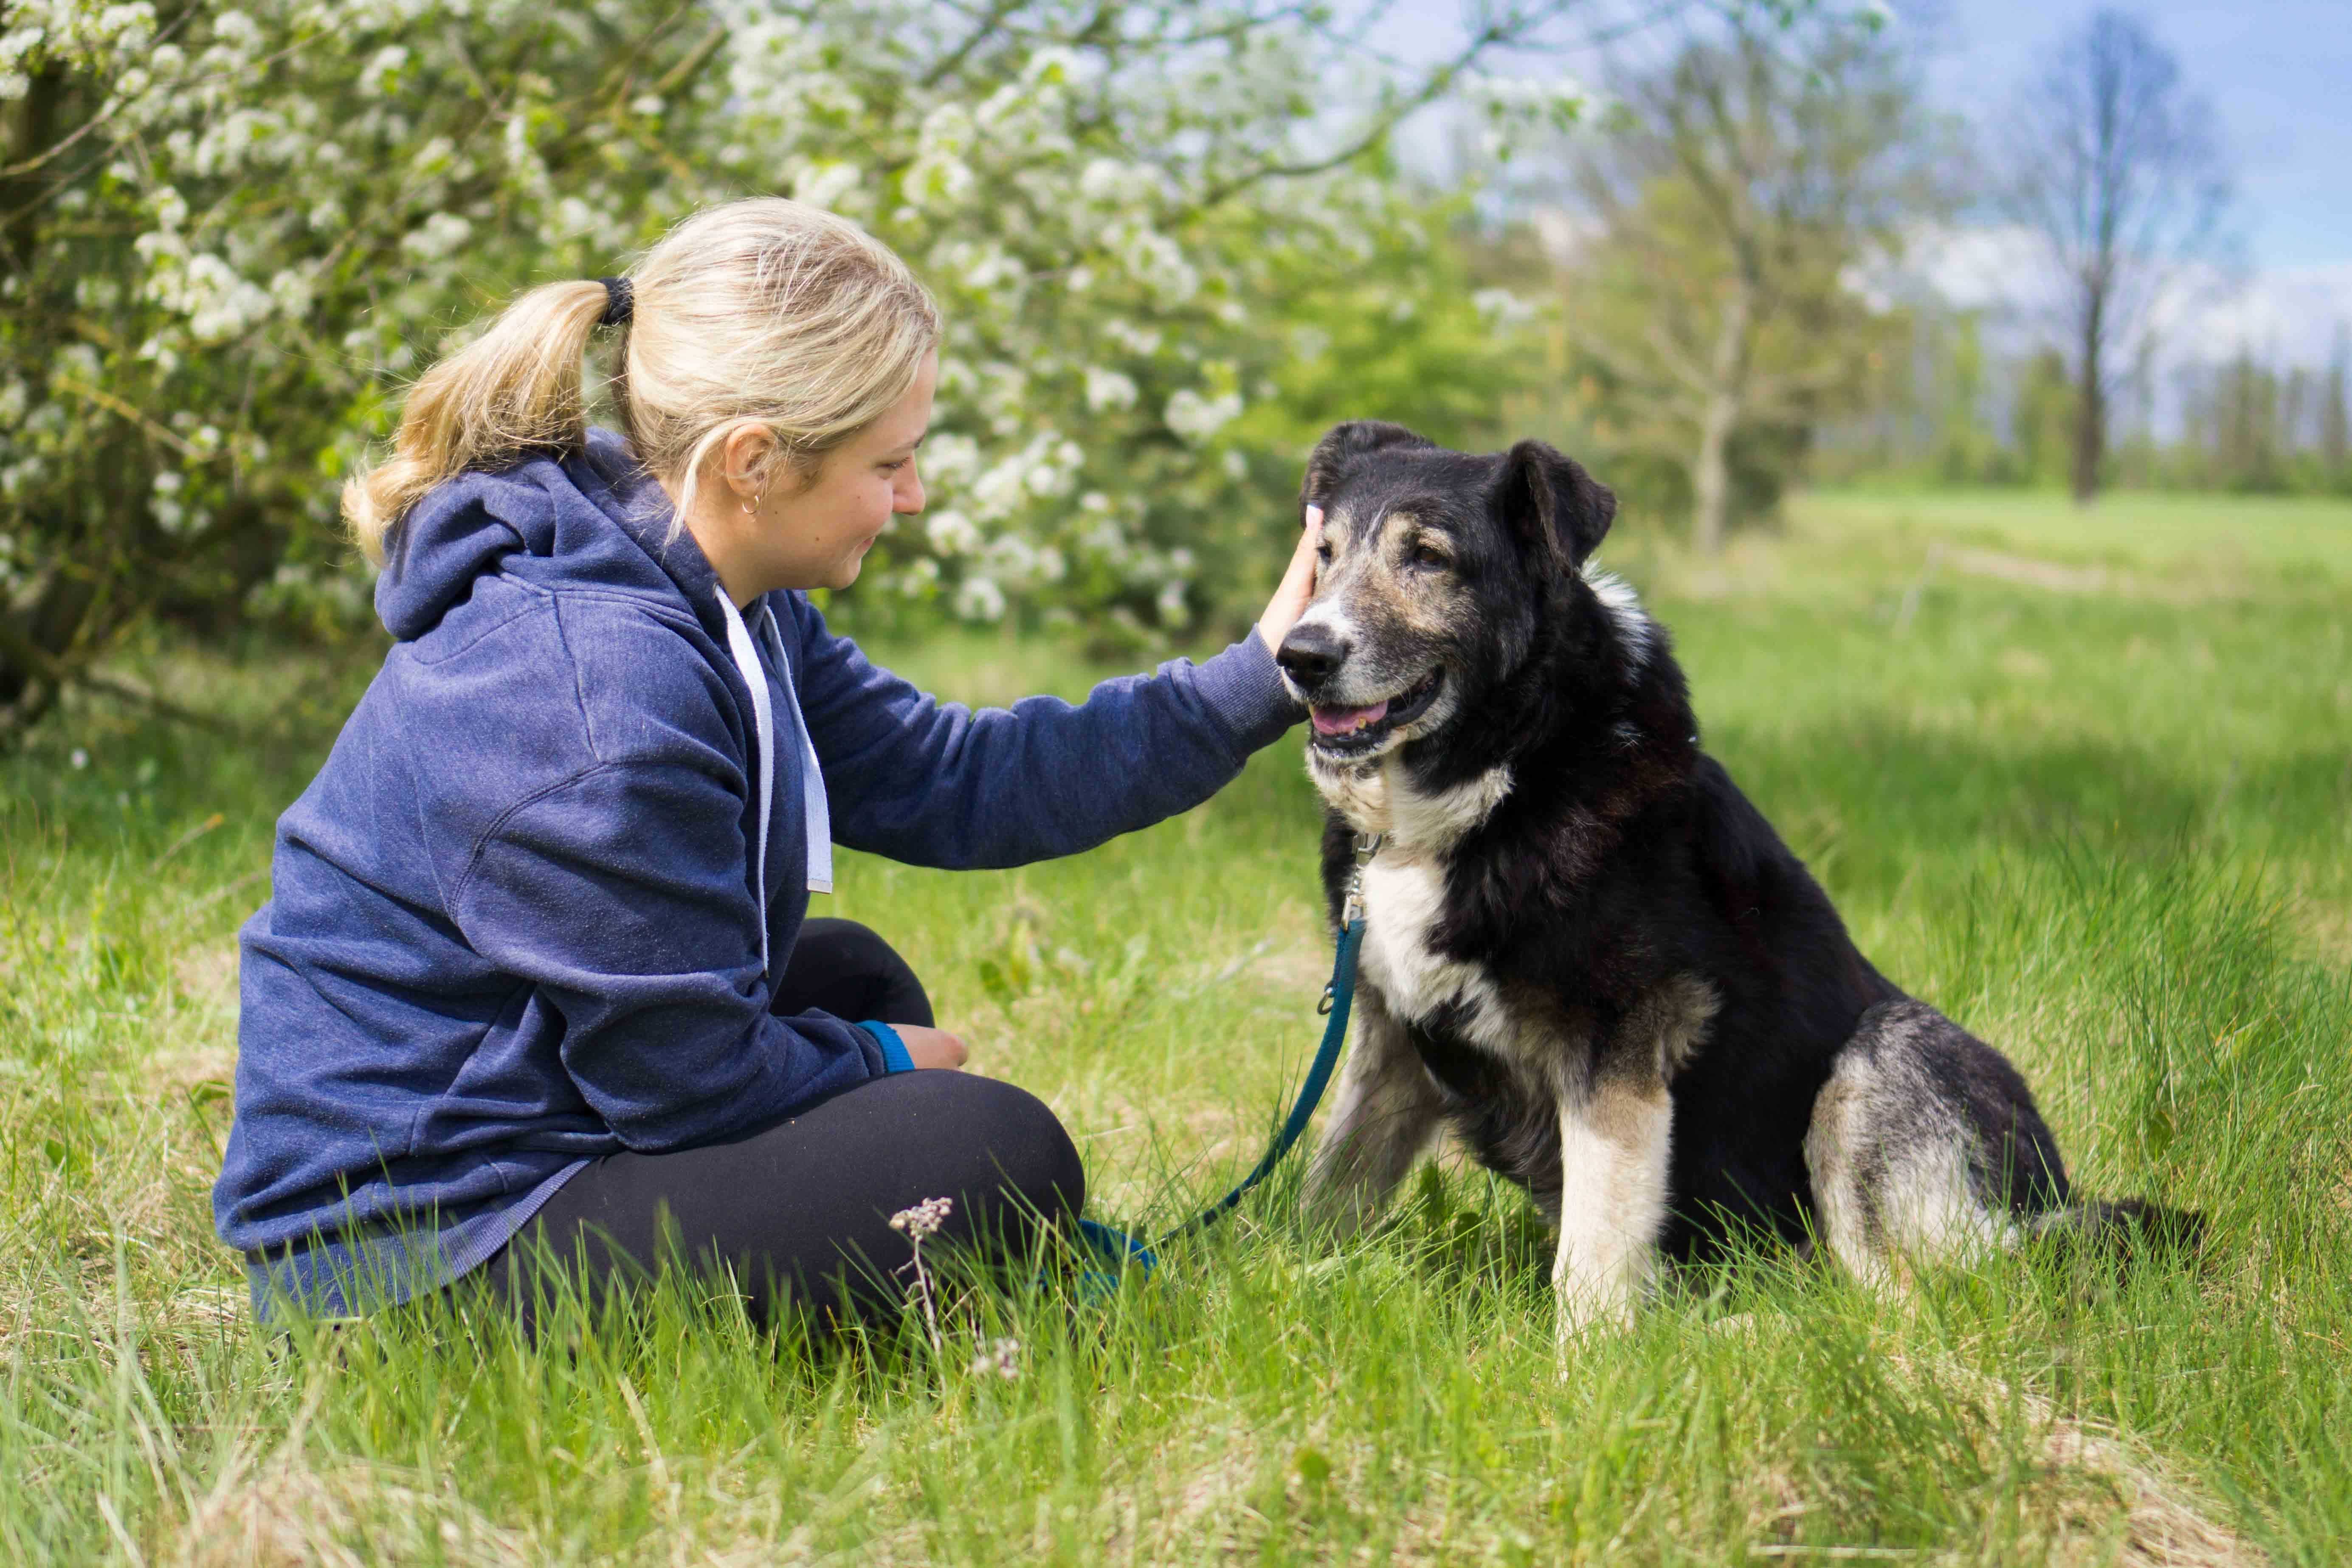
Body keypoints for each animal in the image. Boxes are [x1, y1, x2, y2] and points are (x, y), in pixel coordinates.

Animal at [1279, 421, 2192, 1335]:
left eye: (1427, 557)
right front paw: (1276, 1279)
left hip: (1876, 1062)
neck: (1508, 767)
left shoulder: (1615, 1050)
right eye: (1323, 554)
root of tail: (2044, 1203)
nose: (1299, 655)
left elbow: (1591, 1259)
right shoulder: (1391, 1036)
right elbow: (1328, 1184)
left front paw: (1587, 1365)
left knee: (1895, 1302)